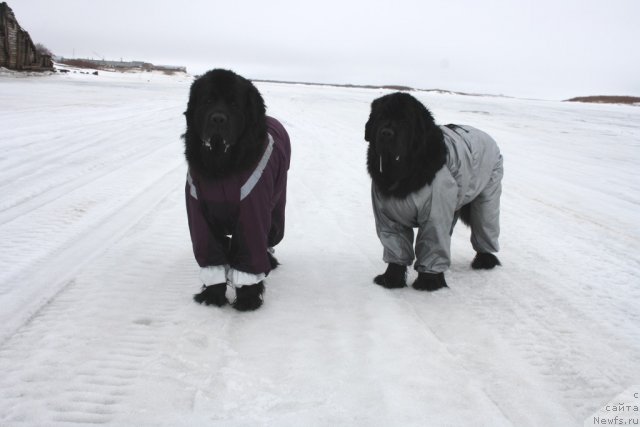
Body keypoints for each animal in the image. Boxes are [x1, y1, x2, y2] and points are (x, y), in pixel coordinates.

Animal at [184, 69, 292, 310]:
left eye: (234, 104)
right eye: (208, 101)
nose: (218, 118)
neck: (221, 168)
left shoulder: (252, 212)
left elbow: (250, 255)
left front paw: (248, 299)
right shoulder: (199, 215)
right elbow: (211, 255)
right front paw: (213, 295)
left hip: (276, 207)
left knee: (269, 239)